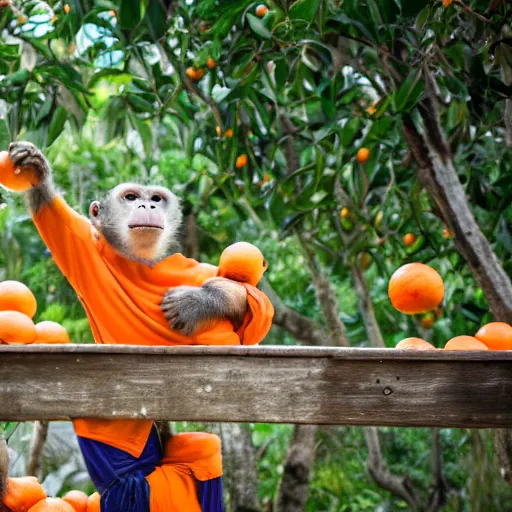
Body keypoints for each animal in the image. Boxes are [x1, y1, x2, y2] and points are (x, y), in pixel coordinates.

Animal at [0, 142, 274, 512]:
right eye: (130, 197)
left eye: (156, 198)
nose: (147, 205)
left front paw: (201, 301)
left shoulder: (187, 267)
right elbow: (60, 224)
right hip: (142, 494)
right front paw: (36, 176)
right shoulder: (88, 247)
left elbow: (257, 305)